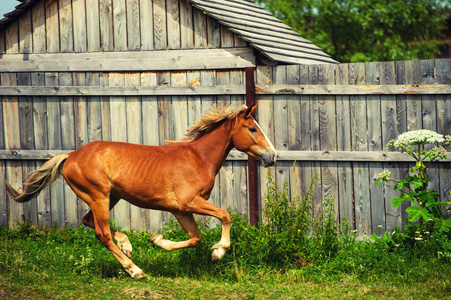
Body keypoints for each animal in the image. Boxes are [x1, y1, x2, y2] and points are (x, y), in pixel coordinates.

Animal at [5, 105, 278, 278]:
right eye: (252, 129)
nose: (273, 156)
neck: (199, 158)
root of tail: (70, 156)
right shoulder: (189, 202)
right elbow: (224, 216)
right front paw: (218, 252)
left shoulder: (180, 210)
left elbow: (195, 238)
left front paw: (158, 241)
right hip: (99, 196)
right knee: (101, 232)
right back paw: (134, 270)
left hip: (110, 197)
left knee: (89, 223)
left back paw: (126, 245)